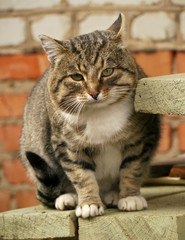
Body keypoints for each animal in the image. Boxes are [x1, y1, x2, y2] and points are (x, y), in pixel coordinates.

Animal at [19, 13, 160, 219]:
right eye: (77, 77)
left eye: (107, 71)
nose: (94, 93)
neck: (100, 114)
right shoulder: (67, 145)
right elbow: (81, 175)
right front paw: (89, 204)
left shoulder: (141, 137)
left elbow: (132, 167)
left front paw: (130, 197)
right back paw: (68, 198)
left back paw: (112, 195)